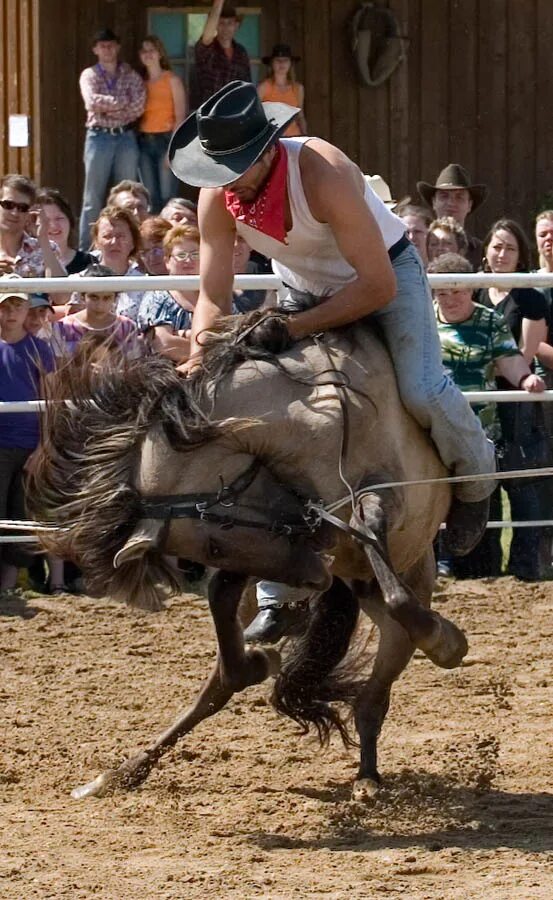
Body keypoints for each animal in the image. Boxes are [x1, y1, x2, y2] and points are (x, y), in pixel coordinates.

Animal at [28, 314, 468, 800]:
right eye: (213, 546)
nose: (315, 577)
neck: (314, 411)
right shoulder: (272, 547)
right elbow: (223, 604)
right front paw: (258, 659)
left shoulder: (378, 497)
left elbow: (377, 544)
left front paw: (447, 640)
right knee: (222, 679)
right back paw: (126, 769)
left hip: (398, 582)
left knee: (380, 679)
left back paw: (368, 774)